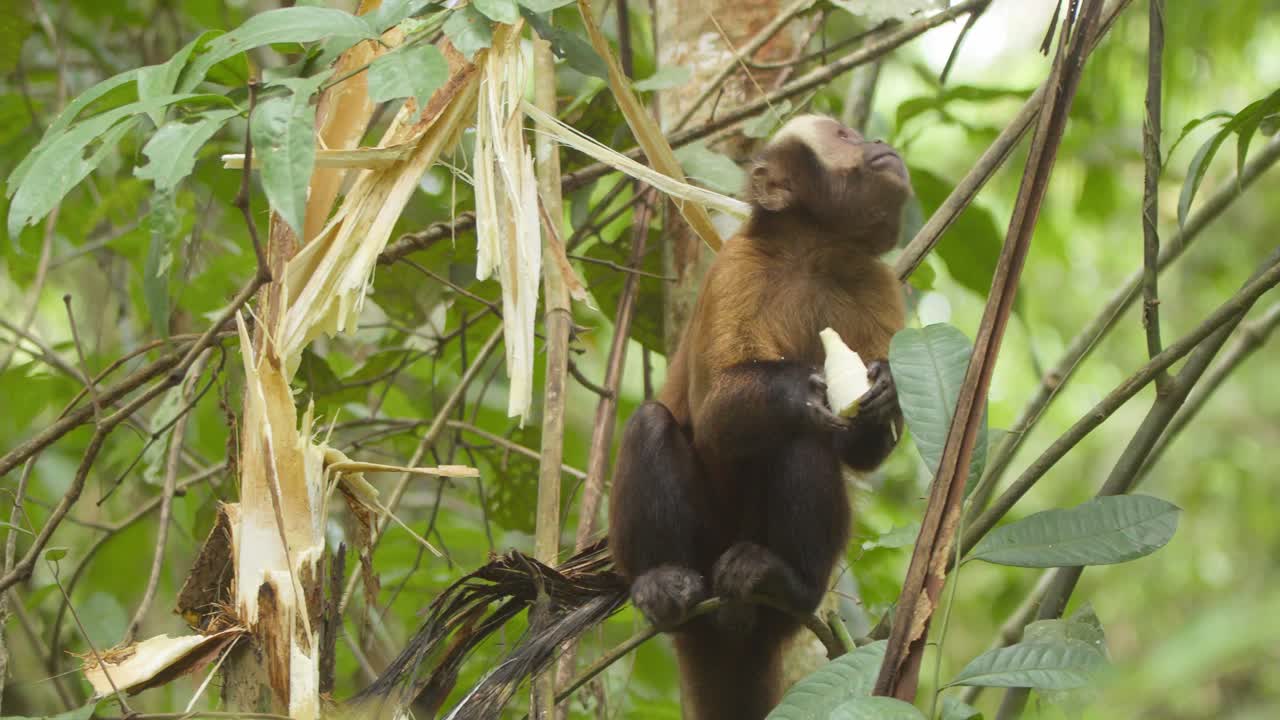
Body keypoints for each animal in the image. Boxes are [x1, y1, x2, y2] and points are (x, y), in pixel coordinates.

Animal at [607, 115, 910, 720]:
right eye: (843, 136)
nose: (878, 142)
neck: (816, 253)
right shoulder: (735, 270)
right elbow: (716, 413)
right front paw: (805, 386)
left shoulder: (879, 285)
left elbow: (861, 451)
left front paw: (884, 390)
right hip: (703, 548)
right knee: (657, 423)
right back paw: (661, 584)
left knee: (804, 443)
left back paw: (785, 582)